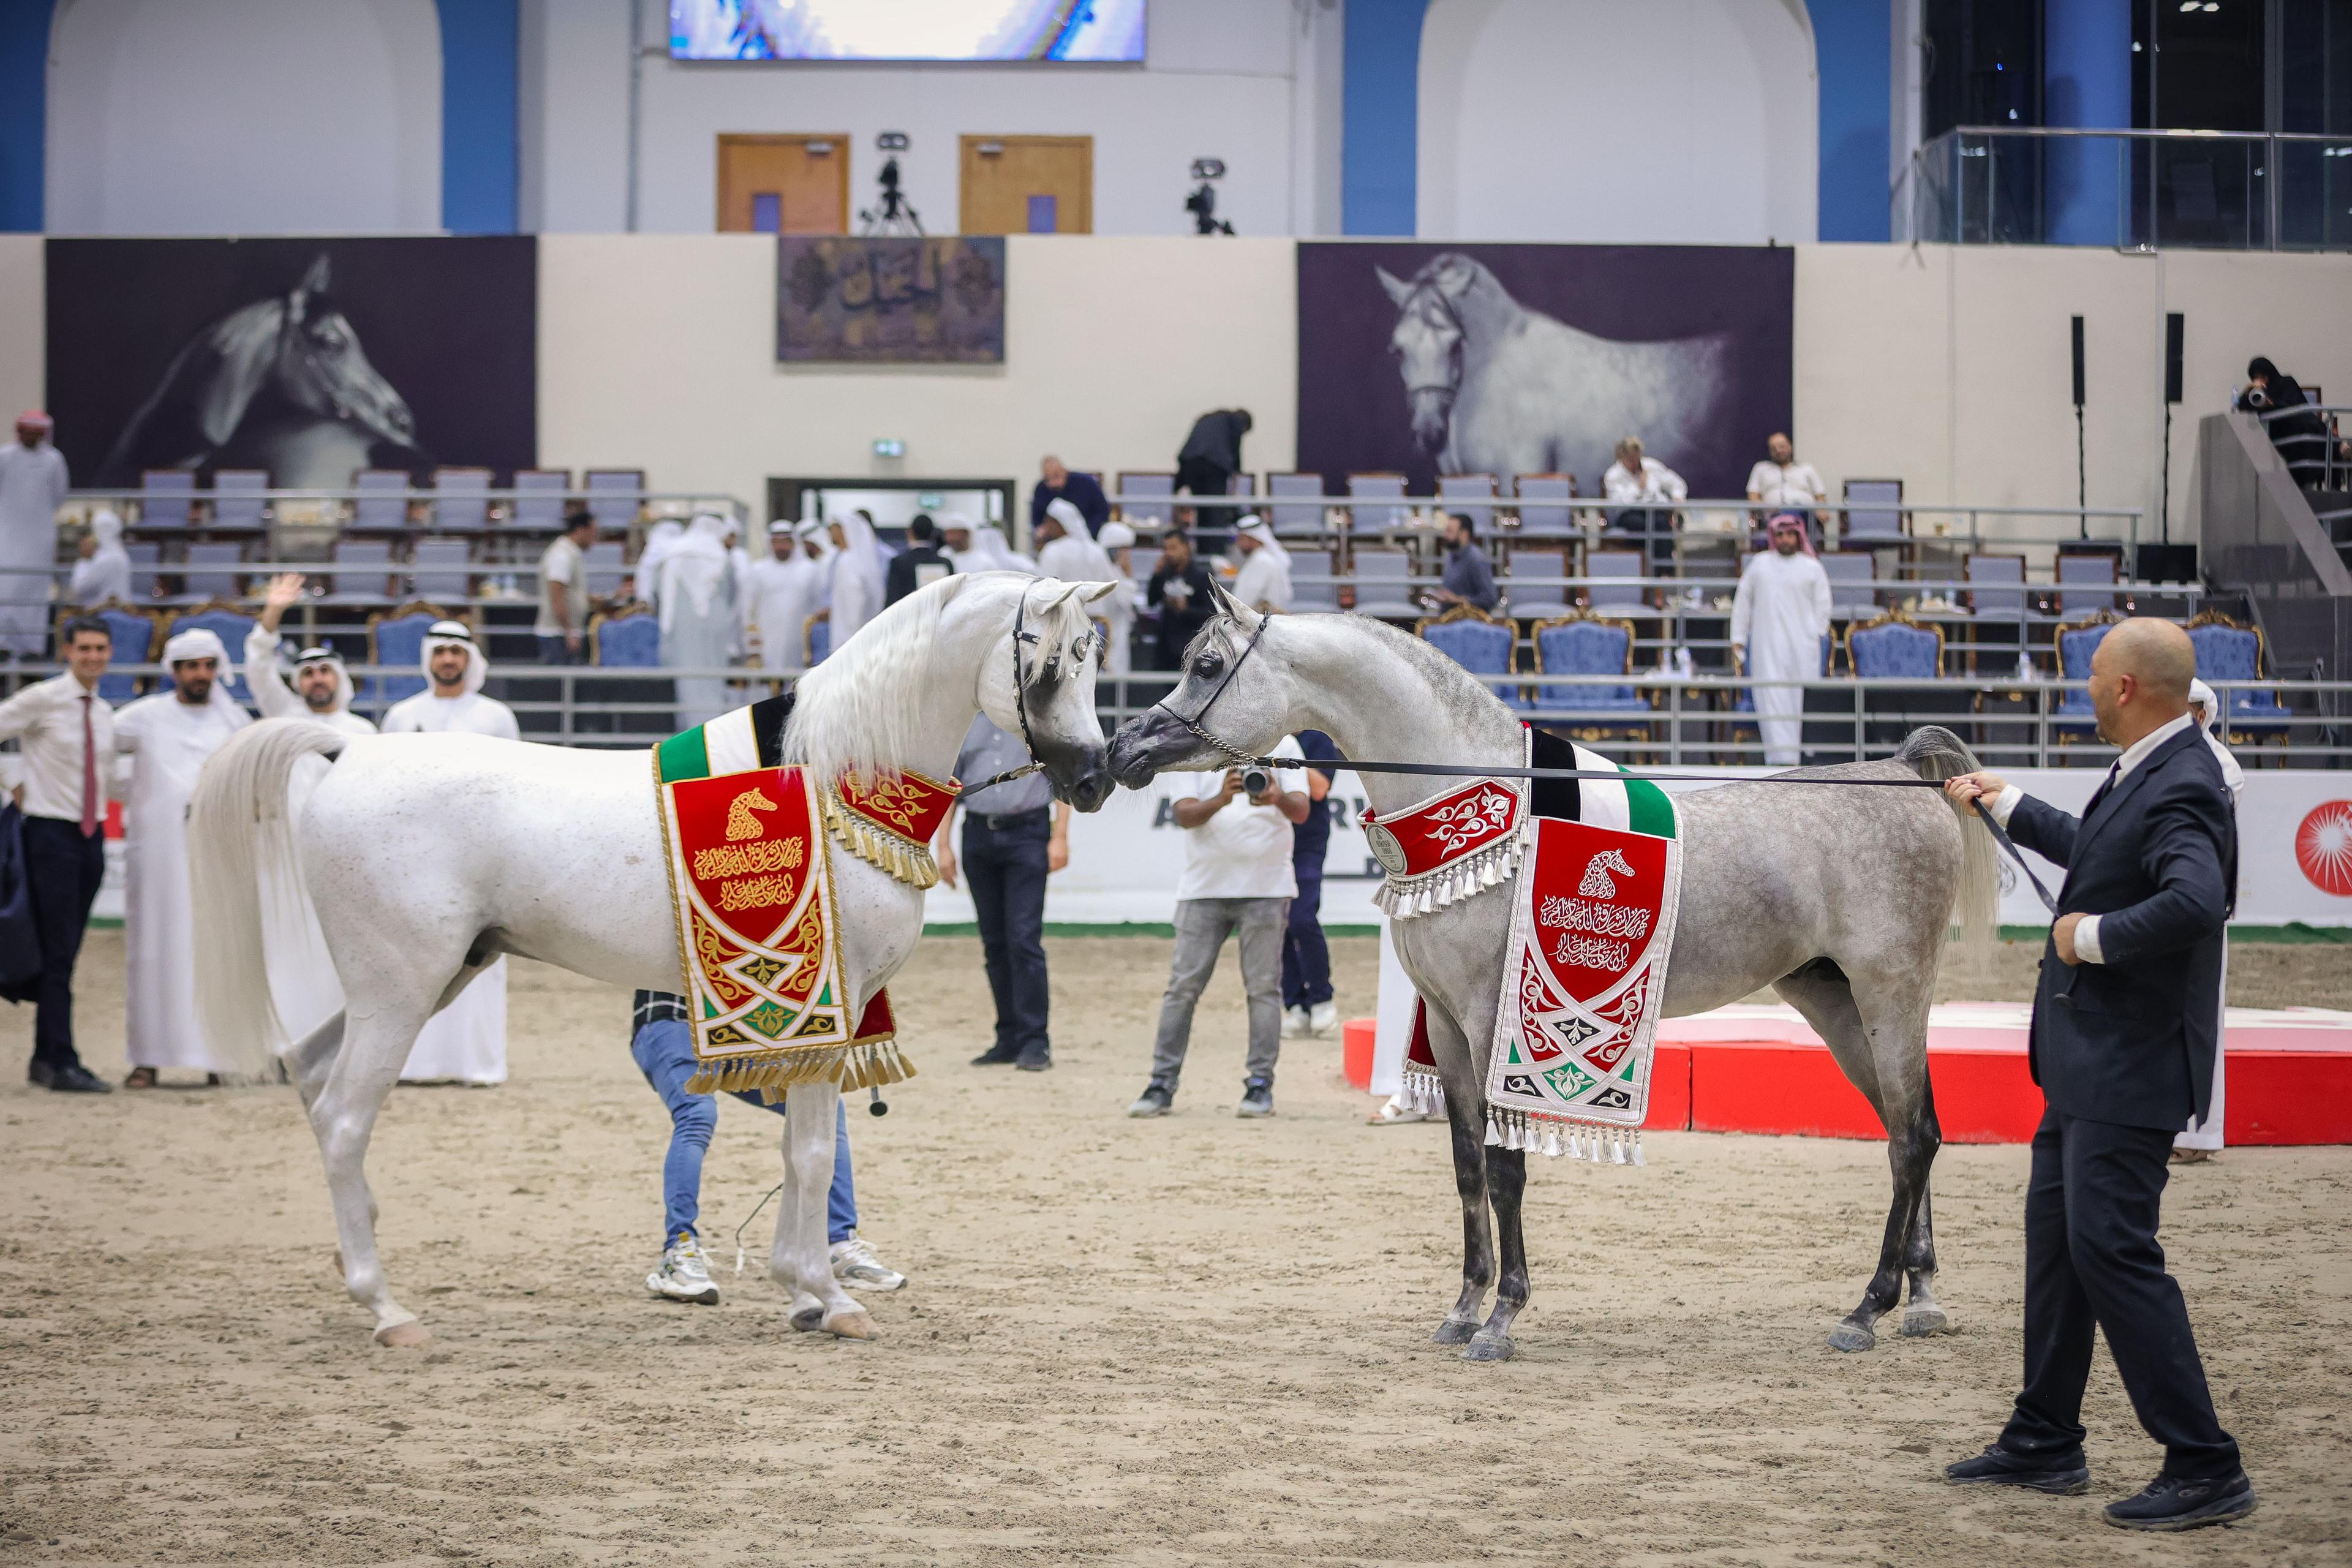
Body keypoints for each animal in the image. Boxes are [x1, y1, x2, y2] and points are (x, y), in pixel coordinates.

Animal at [187, 573, 1118, 1349]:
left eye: (1094, 657)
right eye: (1049, 666)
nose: (1097, 778)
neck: (829, 783)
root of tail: (346, 752)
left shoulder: (810, 1024)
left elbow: (801, 1151)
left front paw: (801, 1291)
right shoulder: (827, 1005)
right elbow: (816, 1154)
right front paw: (831, 1298)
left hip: (428, 981)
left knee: (310, 1082)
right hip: (399, 991)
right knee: (345, 1118)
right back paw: (387, 1309)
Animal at [1105, 587, 1998, 1362]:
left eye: (1208, 665)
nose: (1124, 749)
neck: (1487, 810)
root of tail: (1905, 771)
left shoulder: (1493, 1026)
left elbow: (1508, 1168)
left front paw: (1502, 1319)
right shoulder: (1449, 1032)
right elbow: (1468, 1164)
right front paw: (1463, 1308)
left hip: (1890, 994)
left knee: (1915, 1136)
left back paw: (1868, 1308)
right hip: (1833, 1002)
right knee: (1906, 1134)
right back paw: (1919, 1301)